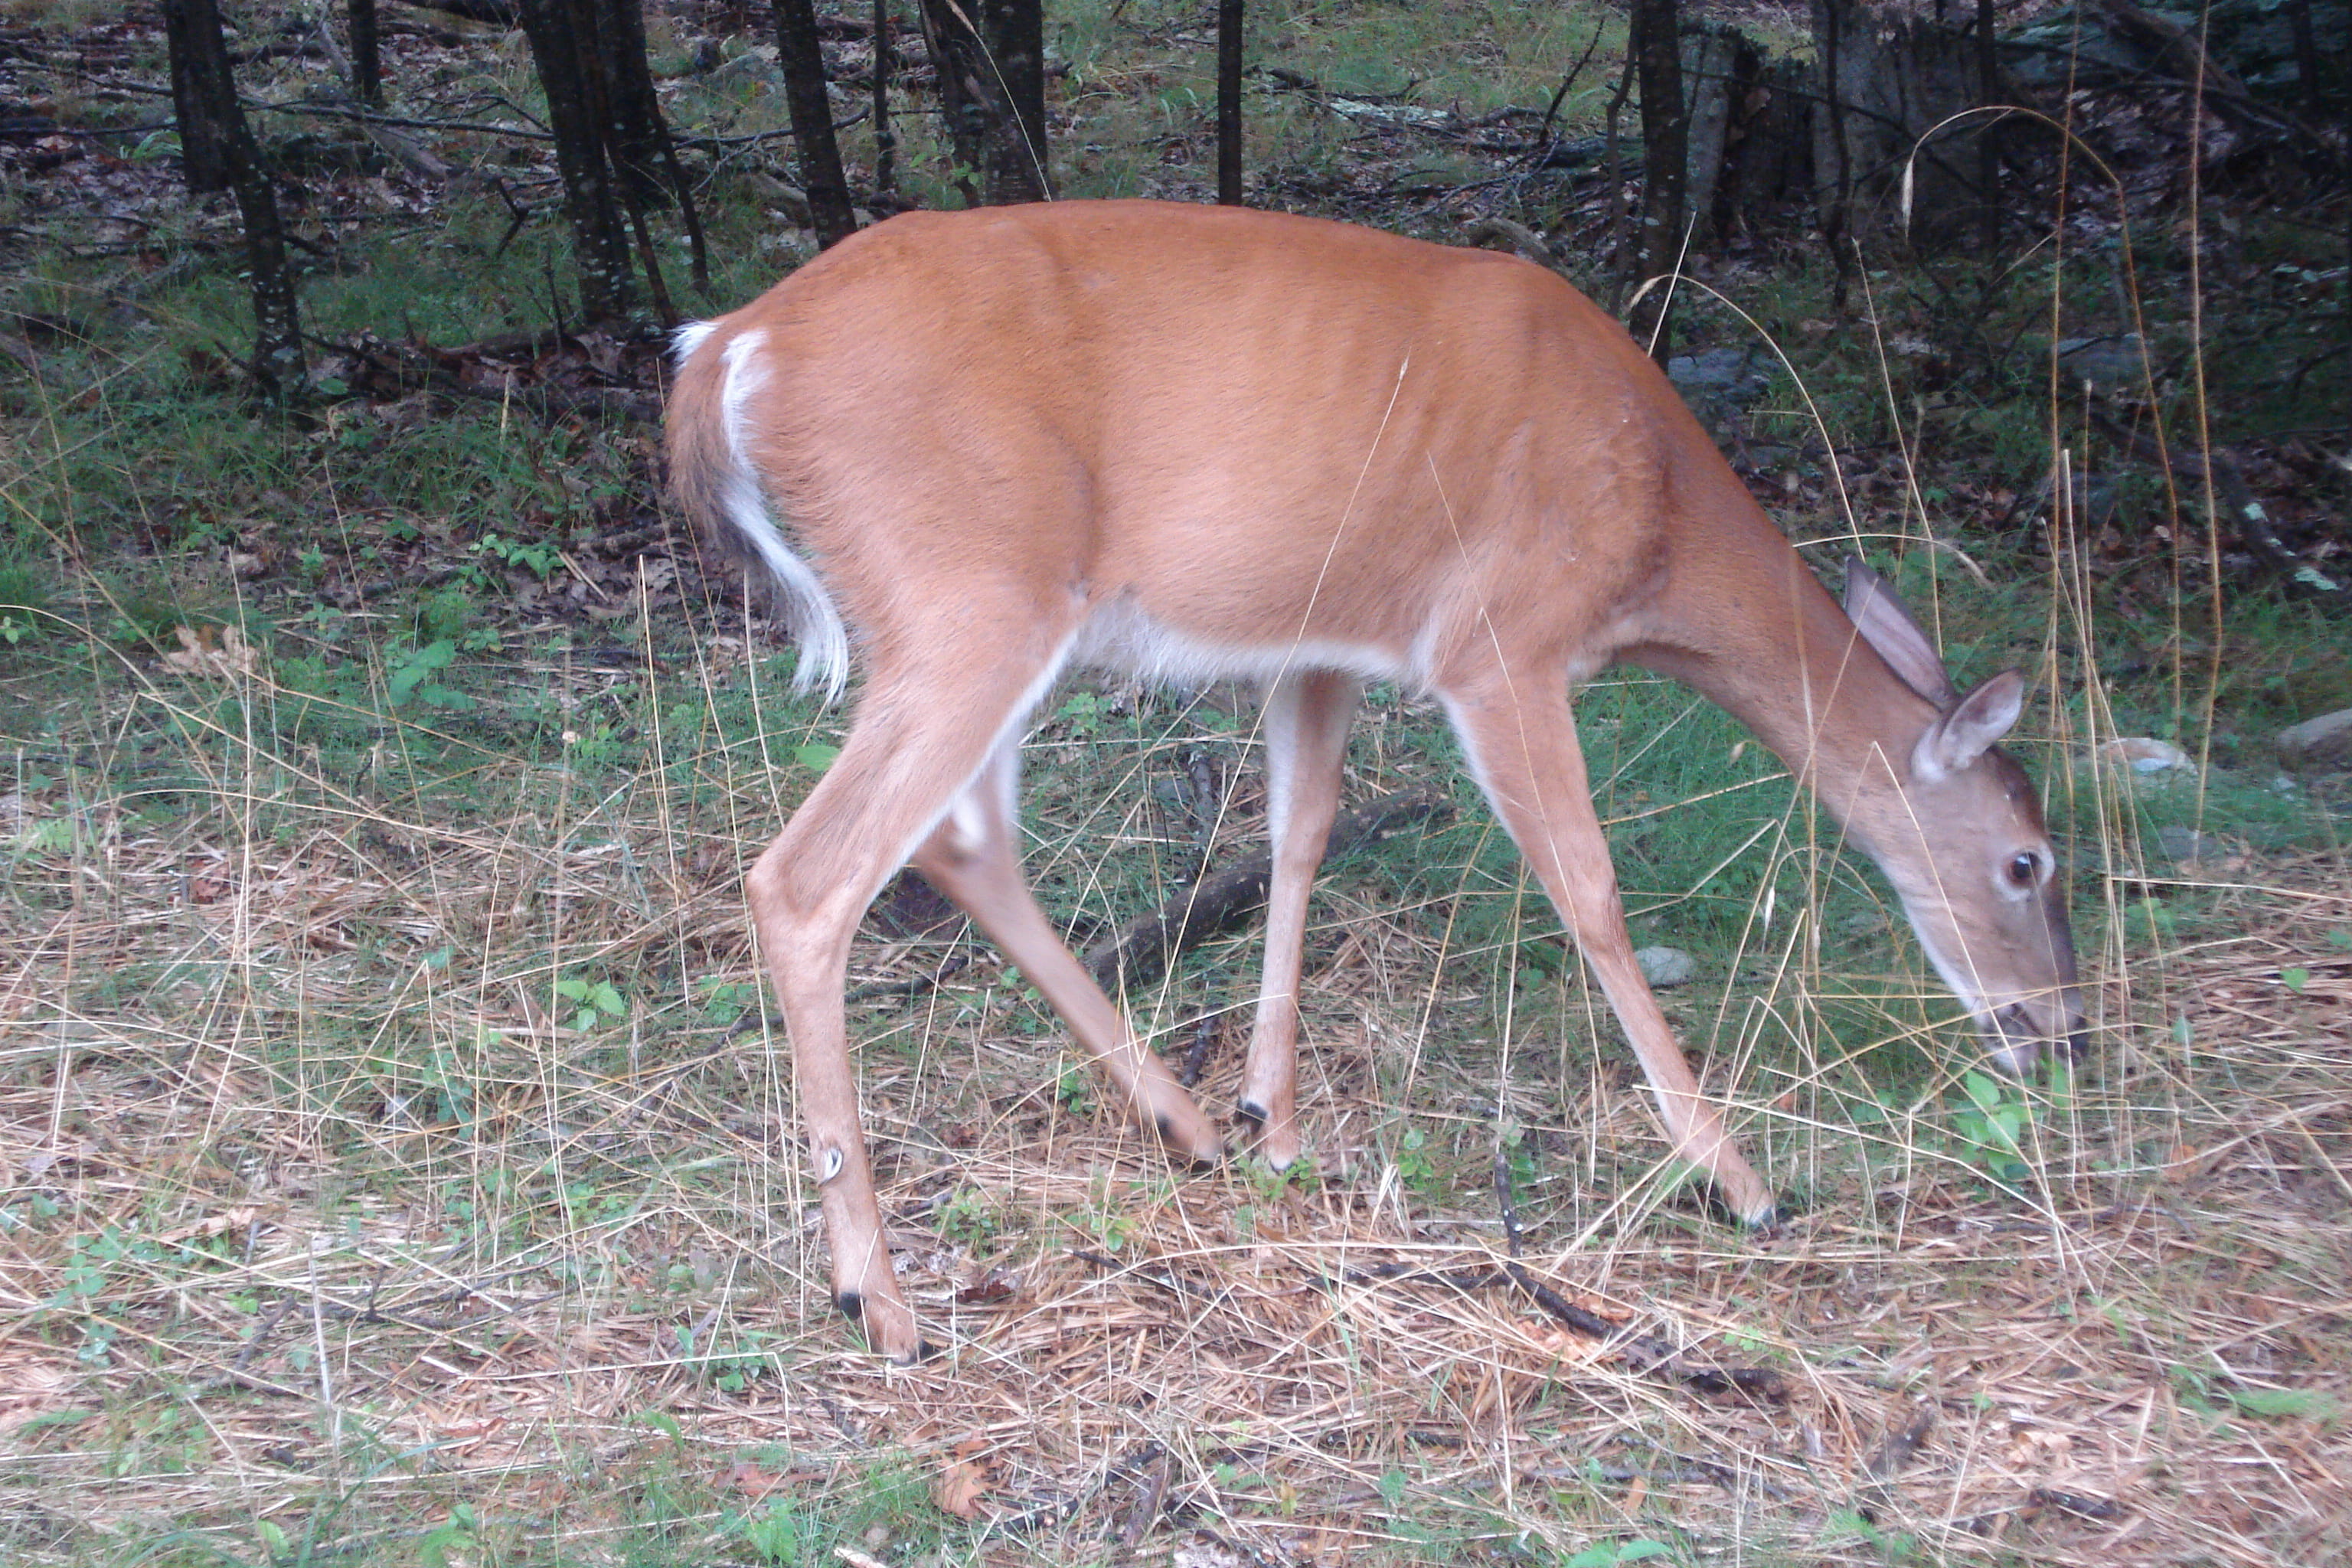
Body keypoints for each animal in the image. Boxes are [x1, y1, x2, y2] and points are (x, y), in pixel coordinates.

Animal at [665, 200, 2086, 1362]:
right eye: (2027, 860)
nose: (2059, 1030)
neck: (1656, 525)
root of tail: (730, 345)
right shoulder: (1503, 640)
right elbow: (1590, 891)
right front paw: (1739, 1179)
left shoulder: (1322, 638)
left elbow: (1301, 831)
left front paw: (1273, 1116)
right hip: (967, 585)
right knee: (811, 877)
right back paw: (879, 1296)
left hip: (981, 612)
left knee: (966, 845)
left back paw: (1183, 1127)